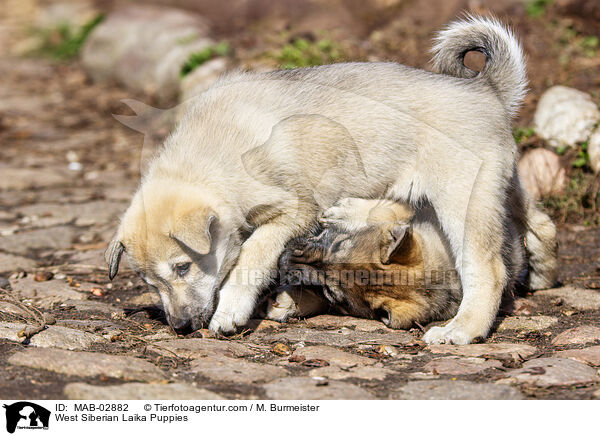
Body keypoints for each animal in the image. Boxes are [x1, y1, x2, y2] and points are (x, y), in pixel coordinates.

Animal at [104, 16, 556, 344]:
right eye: (149, 282)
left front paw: (231, 311)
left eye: (182, 267)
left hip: (462, 200)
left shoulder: (293, 212)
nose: (180, 328)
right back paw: (543, 273)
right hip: (496, 186)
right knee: (539, 222)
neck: (213, 156)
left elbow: (251, 255)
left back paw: (463, 330)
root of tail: (487, 90)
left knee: (488, 268)